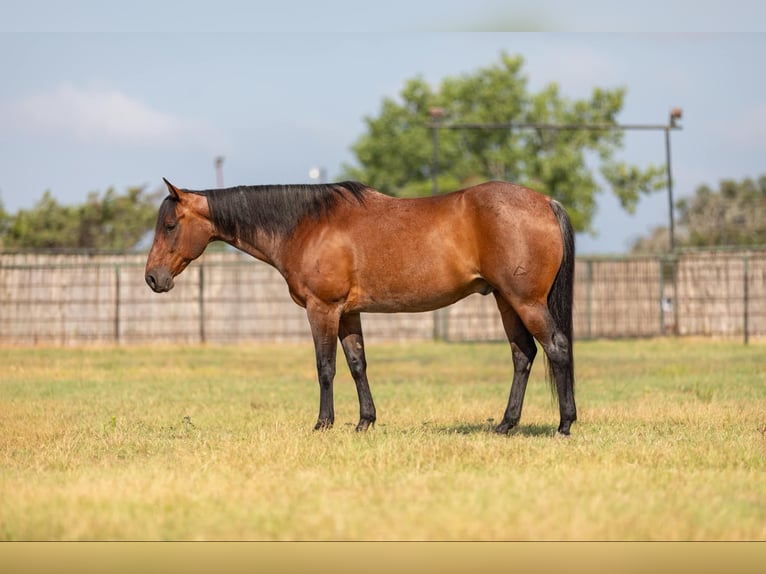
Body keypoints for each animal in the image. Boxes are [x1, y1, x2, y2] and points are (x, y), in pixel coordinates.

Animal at [145, 178, 577, 435]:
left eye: (170, 226)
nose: (152, 278)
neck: (307, 225)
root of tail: (546, 202)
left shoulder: (323, 309)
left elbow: (325, 367)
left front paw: (323, 423)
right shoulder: (348, 313)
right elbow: (357, 364)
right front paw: (365, 422)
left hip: (525, 301)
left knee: (556, 348)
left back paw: (564, 424)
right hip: (506, 301)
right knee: (523, 355)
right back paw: (506, 424)